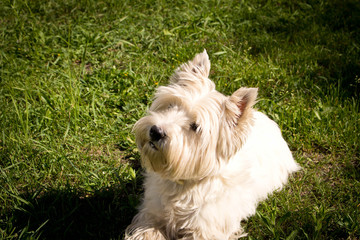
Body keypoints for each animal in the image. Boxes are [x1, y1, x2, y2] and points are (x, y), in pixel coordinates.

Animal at [125, 49, 300, 239]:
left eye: (195, 127)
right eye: (171, 105)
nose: (156, 131)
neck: (184, 184)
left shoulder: (207, 229)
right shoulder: (151, 215)